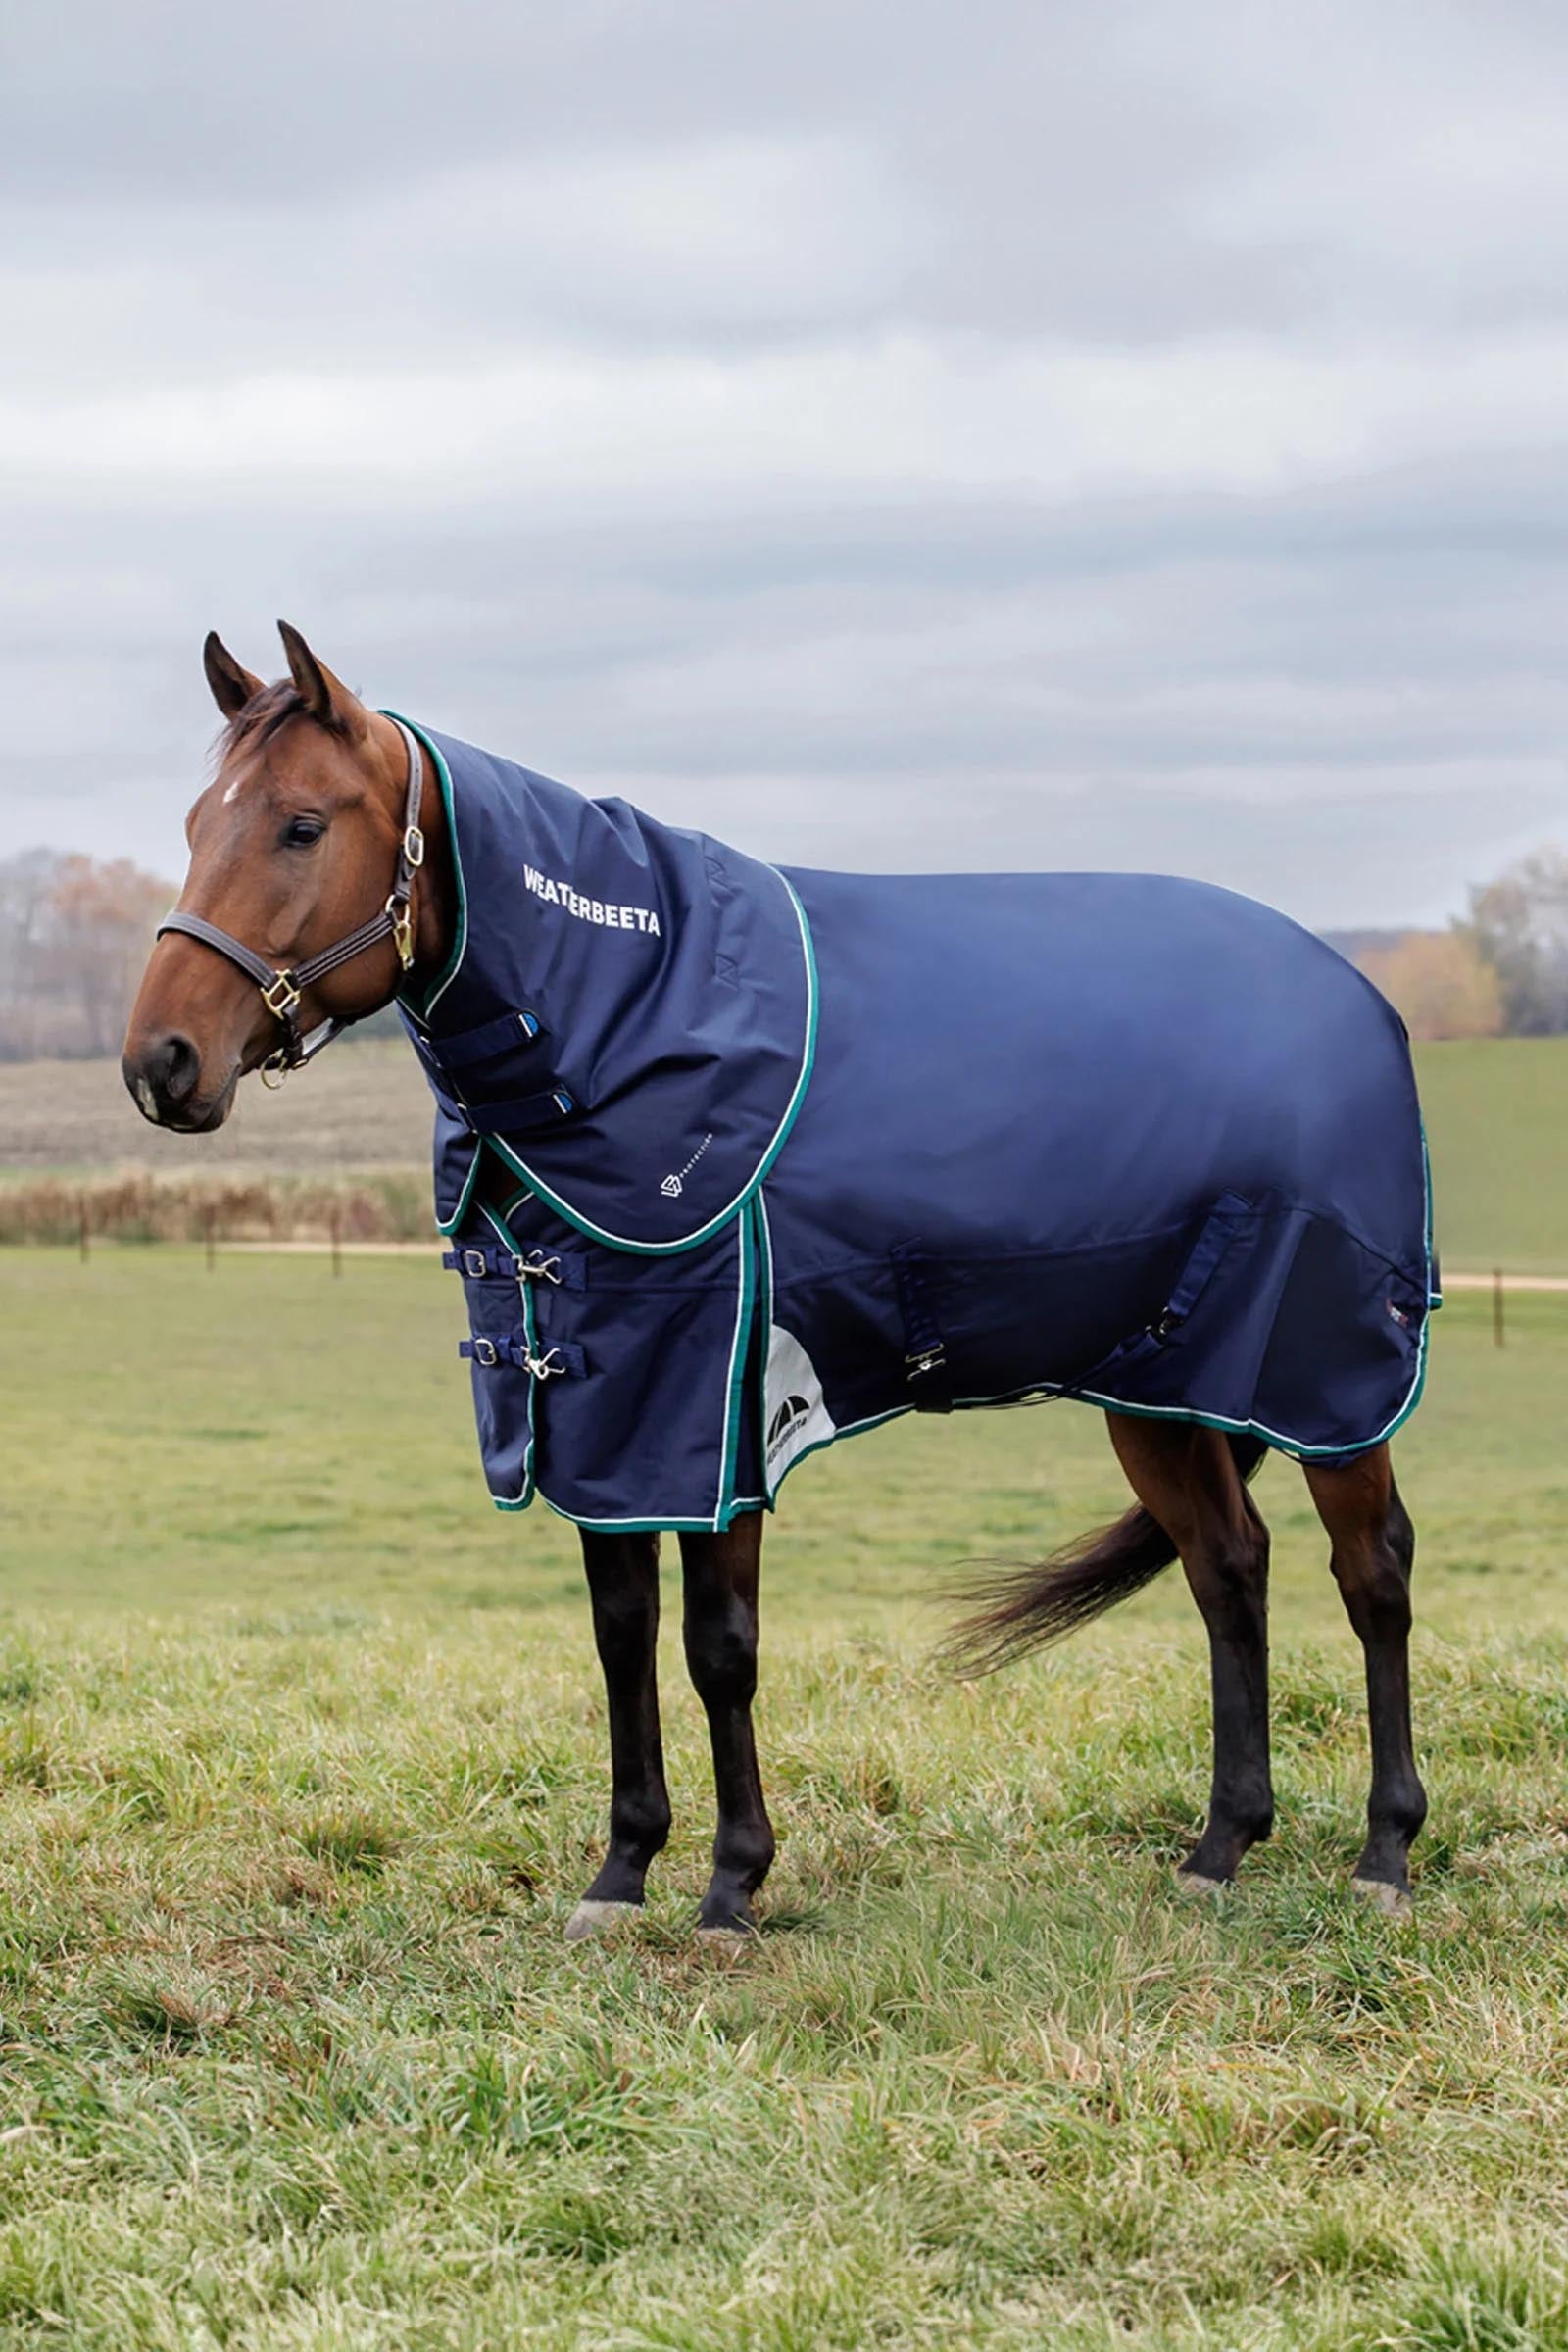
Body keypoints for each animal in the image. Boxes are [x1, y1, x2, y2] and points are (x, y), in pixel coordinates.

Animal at [124, 623, 1432, 1936]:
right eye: (191, 823)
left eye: (300, 825)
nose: (160, 1064)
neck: (635, 1015)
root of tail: (1355, 995)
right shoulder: (599, 1411)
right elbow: (620, 1633)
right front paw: (622, 1871)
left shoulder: (717, 1411)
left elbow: (718, 1645)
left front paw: (732, 1881)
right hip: (1165, 1385)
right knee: (1229, 1569)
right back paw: (1221, 1844)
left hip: (1330, 1378)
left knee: (1371, 1571)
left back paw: (1384, 1851)